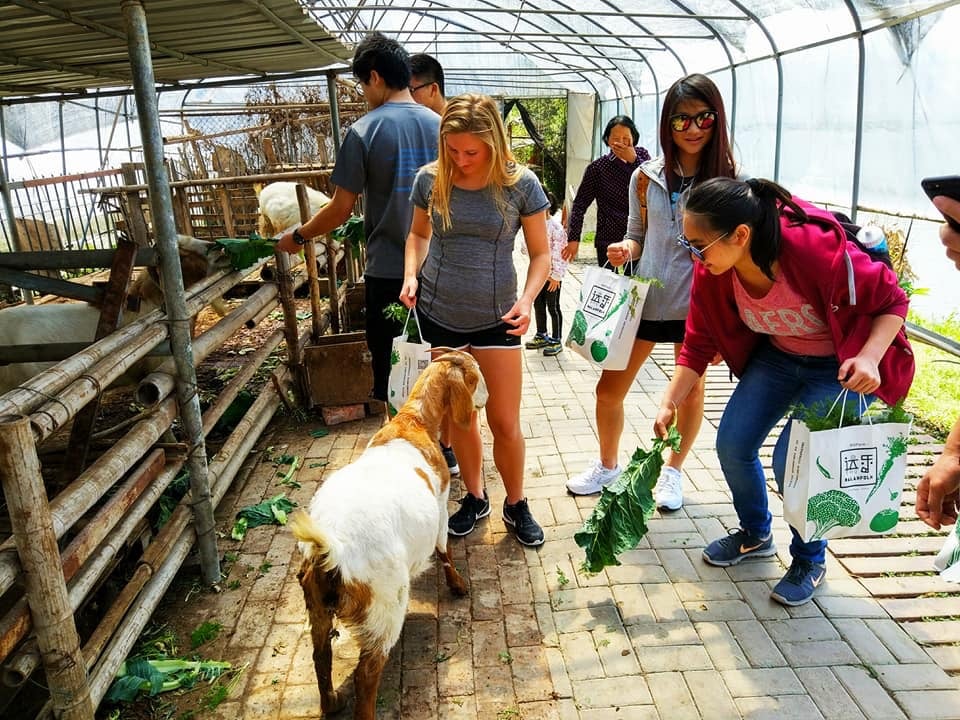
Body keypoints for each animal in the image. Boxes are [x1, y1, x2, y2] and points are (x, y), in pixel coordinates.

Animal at [288, 350, 488, 720]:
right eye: (476, 376)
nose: (488, 397)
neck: (413, 422)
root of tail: (332, 552)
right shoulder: (440, 504)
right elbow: (444, 548)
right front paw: (457, 585)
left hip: (317, 607)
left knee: (321, 656)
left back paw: (331, 702)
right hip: (384, 601)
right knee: (367, 673)